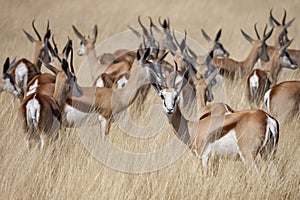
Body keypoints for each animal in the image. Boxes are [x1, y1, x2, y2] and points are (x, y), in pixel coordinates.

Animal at [150, 61, 278, 175]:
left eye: (176, 96)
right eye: (162, 96)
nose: (170, 109)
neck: (192, 127)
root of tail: (266, 118)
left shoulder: (203, 158)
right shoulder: (214, 159)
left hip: (248, 156)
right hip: (267, 154)